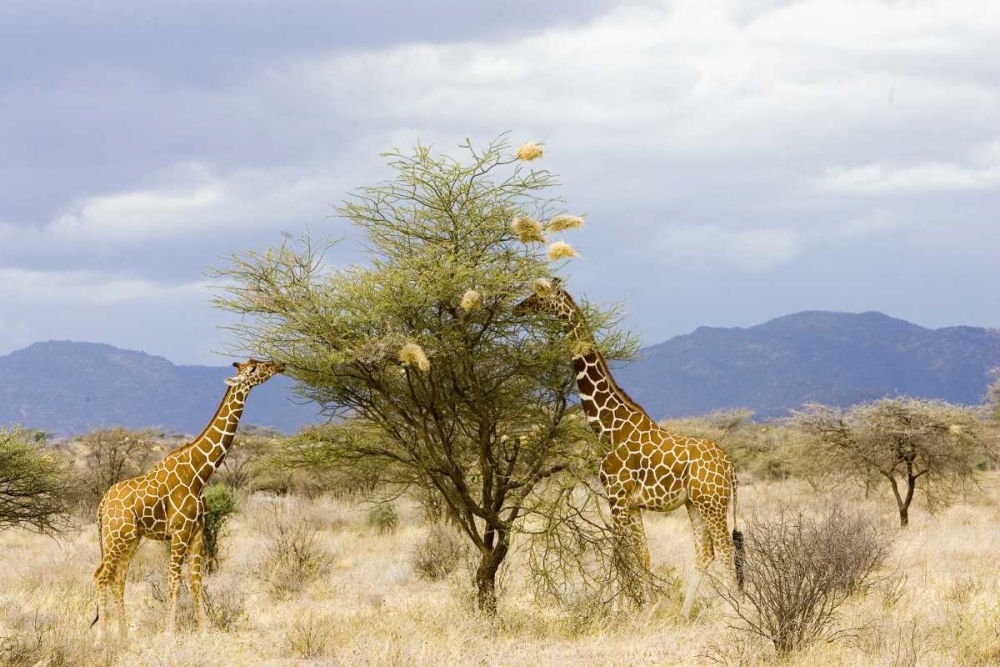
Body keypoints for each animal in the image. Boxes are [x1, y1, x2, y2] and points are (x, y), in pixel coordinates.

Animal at [92, 360, 284, 648]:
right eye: (252, 369)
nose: (279, 364)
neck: (199, 473)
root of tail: (103, 504)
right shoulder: (180, 531)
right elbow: (173, 581)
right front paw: (169, 634)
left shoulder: (197, 532)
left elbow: (195, 580)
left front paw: (204, 632)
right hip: (116, 536)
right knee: (101, 575)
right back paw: (102, 639)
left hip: (130, 539)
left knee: (118, 578)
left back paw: (124, 638)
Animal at [516, 280, 744, 620]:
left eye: (540, 295)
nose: (520, 307)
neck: (610, 429)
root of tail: (730, 467)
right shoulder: (633, 504)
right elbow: (642, 554)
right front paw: (646, 609)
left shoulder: (617, 498)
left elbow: (620, 554)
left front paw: (619, 612)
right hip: (695, 504)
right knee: (705, 554)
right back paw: (684, 614)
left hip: (712, 503)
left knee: (727, 550)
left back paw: (734, 613)